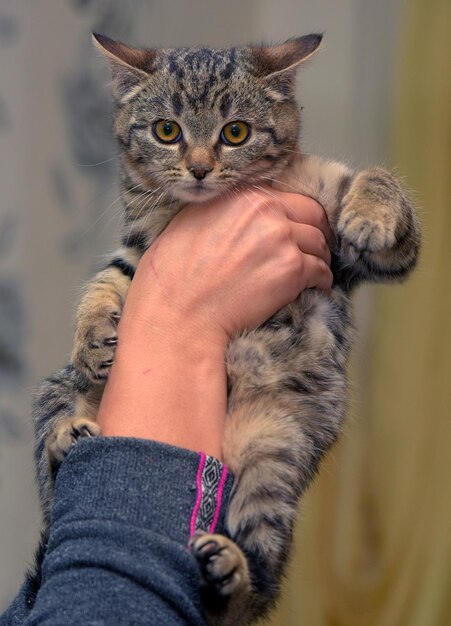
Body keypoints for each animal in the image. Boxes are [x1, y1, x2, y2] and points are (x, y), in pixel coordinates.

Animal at [32, 35, 424, 624]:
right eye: (166, 131)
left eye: (235, 132)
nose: (198, 169)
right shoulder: (142, 247)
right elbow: (108, 277)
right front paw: (92, 334)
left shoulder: (347, 245)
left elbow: (378, 181)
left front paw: (371, 216)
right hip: (57, 393)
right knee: (55, 487)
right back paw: (67, 438)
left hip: (276, 449)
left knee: (262, 574)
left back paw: (229, 575)